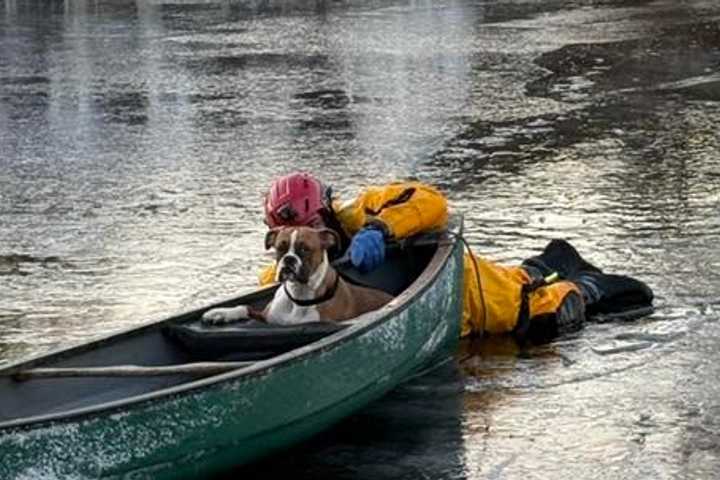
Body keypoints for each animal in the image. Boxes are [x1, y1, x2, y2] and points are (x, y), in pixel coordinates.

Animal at [201, 226, 394, 326]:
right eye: (280, 247)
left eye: (305, 249)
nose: (289, 259)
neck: (299, 295)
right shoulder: (267, 317)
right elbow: (244, 307)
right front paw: (221, 313)